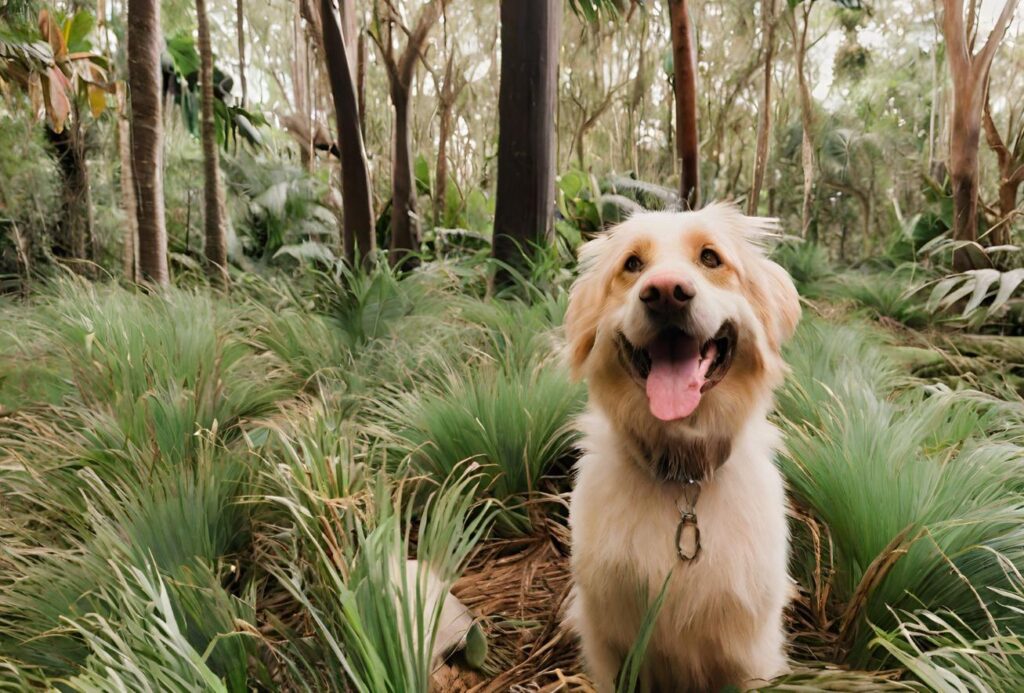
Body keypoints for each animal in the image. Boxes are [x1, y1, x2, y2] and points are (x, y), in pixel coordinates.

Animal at [565, 202, 802, 687]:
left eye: (710, 258)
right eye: (632, 265)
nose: (665, 293)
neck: (683, 473)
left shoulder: (752, 655)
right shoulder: (607, 645)